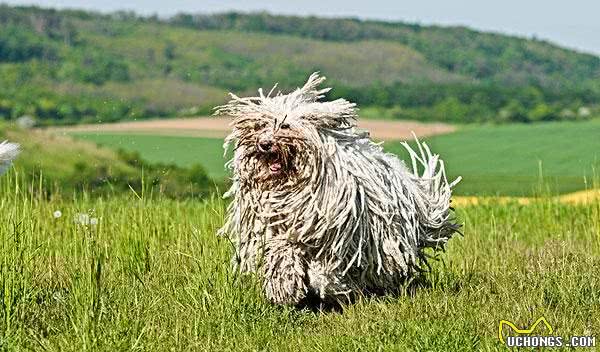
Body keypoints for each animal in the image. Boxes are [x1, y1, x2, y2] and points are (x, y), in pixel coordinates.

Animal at [216, 73, 460, 306]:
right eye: (261, 125)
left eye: (285, 125)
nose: (264, 144)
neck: (290, 187)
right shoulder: (280, 231)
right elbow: (282, 252)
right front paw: (284, 287)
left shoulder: (335, 236)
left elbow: (325, 268)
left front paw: (329, 286)